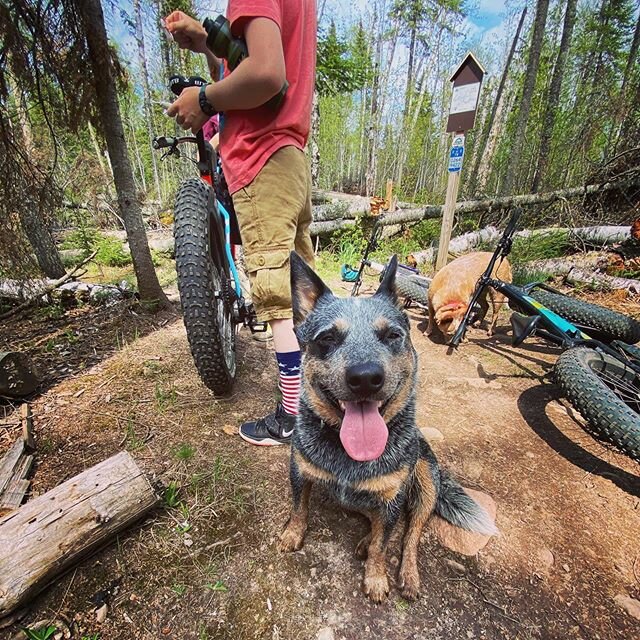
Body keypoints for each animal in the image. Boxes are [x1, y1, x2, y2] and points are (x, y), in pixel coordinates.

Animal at [278, 252, 498, 604]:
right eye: (327, 338)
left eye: (392, 335)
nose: (366, 377)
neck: (348, 457)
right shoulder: (299, 471)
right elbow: (299, 509)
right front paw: (292, 534)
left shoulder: (393, 497)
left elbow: (385, 545)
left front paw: (376, 578)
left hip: (425, 483)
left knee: (409, 533)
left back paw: (406, 574)